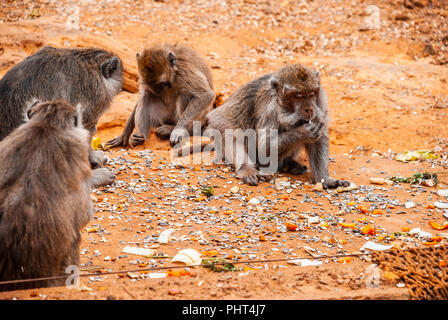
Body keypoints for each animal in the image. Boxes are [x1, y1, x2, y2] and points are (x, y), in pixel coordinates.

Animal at [175, 63, 350, 189]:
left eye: (311, 94)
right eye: (297, 96)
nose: (309, 109)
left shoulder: (321, 101)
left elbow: (319, 138)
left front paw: (324, 179)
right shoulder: (269, 108)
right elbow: (263, 146)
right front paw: (302, 132)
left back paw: (288, 163)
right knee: (230, 132)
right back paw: (247, 169)